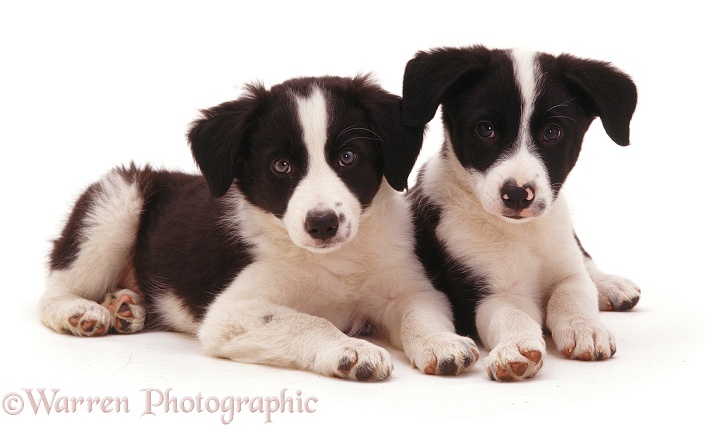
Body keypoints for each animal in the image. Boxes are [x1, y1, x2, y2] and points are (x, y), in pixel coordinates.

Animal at [39, 73, 478, 382]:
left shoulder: (408, 287)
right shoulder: (231, 311)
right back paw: (81, 312)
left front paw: (442, 344)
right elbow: (307, 319)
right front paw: (351, 352)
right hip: (116, 201)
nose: (322, 224)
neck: (334, 261)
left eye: (348, 157)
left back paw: (125, 305)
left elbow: (419, 313)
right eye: (281, 165)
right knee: (54, 290)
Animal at [402, 46, 644, 382]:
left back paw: (610, 284)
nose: (517, 194)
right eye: (486, 129)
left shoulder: (567, 270)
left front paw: (585, 329)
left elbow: (571, 294)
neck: (523, 232)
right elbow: (513, 316)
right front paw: (516, 349)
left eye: (552, 132)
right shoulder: (491, 295)